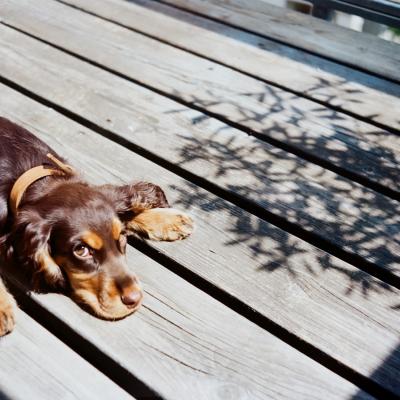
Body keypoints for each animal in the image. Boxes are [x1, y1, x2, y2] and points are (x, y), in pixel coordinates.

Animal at [0, 117, 194, 336]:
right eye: (81, 250)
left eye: (122, 237)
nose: (134, 299)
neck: (30, 176)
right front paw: (2, 308)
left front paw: (169, 219)